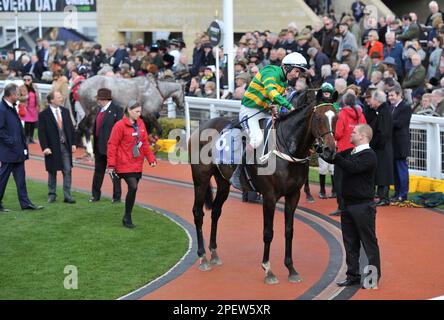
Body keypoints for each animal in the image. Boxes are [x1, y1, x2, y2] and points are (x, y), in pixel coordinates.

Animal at [187, 89, 336, 284]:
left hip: (223, 182)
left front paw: (291, 269)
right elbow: (268, 232)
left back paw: (214, 253)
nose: (330, 150)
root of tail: (202, 126)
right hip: (201, 179)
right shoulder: (269, 196)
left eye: (336, 117)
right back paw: (202, 256)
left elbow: (289, 230)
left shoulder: (293, 195)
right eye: (318, 118)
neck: (286, 149)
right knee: (198, 213)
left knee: (216, 212)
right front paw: (268, 269)